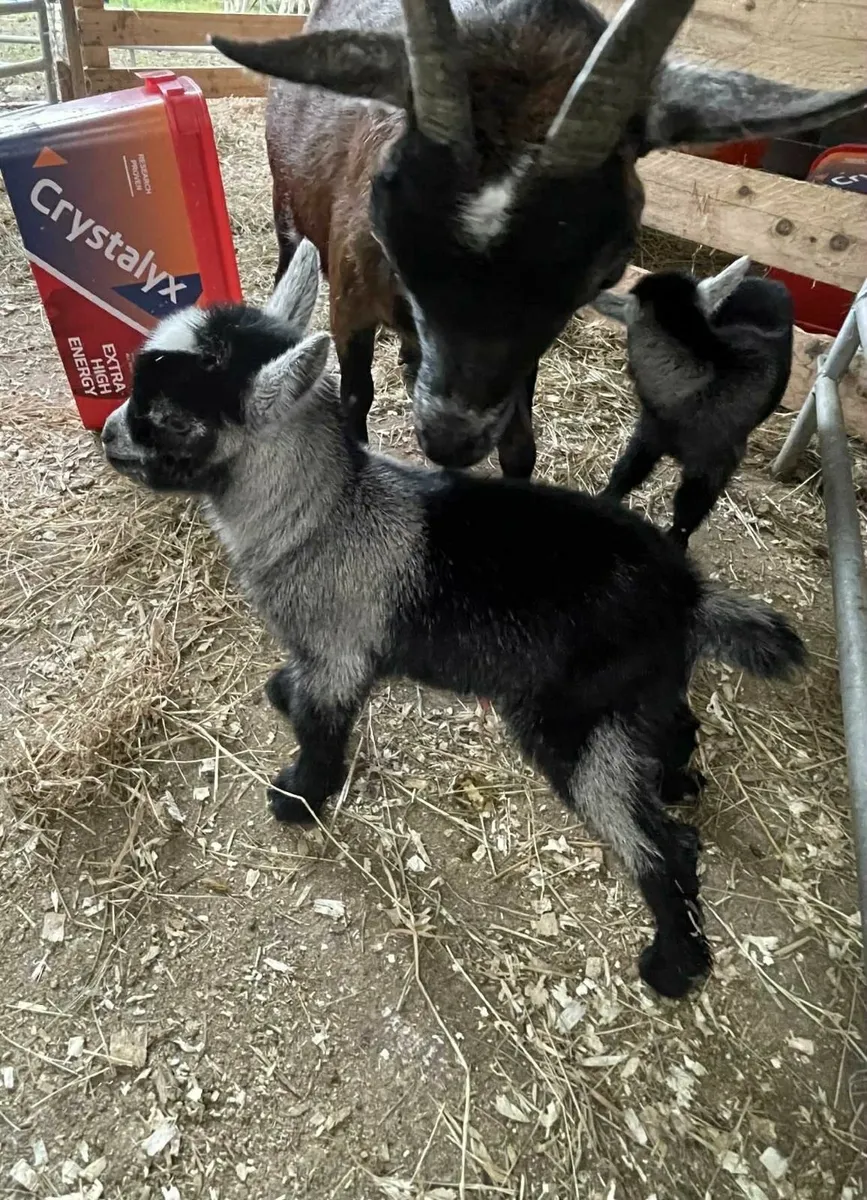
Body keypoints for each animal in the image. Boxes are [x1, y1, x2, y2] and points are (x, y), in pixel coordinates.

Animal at [210, 0, 867, 477]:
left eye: (608, 266)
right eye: (387, 224)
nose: (450, 440)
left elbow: (519, 446)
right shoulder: (351, 296)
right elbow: (355, 399)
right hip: (286, 200)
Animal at [591, 257, 795, 545]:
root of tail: (769, 282)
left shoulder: (712, 466)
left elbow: (688, 511)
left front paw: (676, 543)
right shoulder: (649, 433)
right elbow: (627, 472)